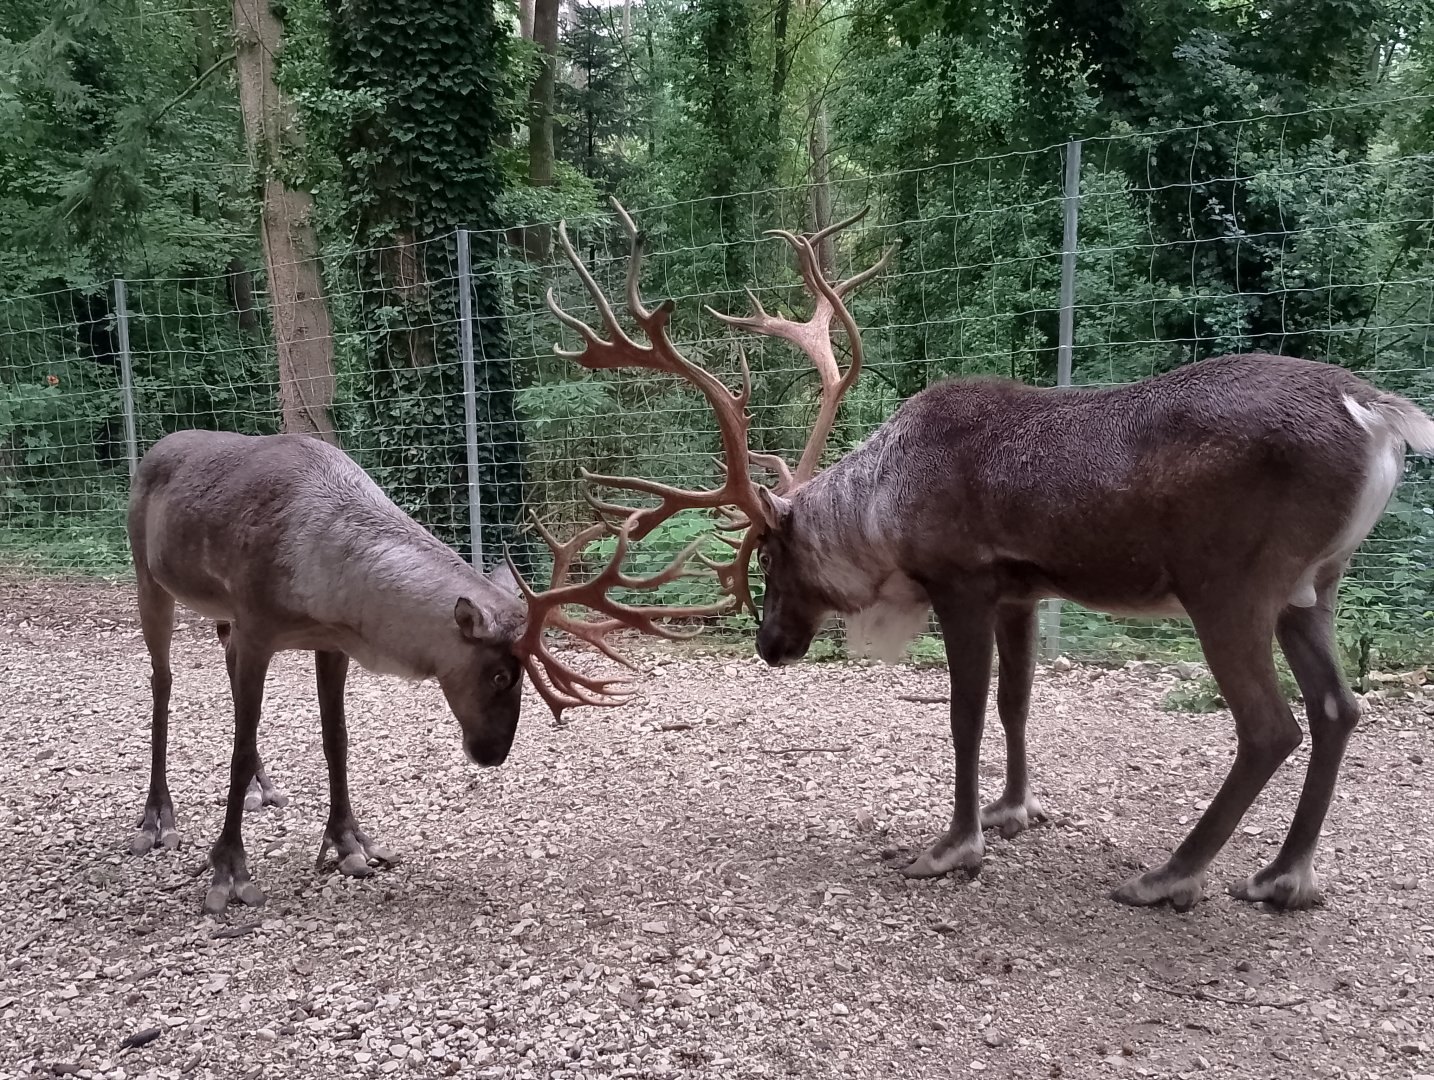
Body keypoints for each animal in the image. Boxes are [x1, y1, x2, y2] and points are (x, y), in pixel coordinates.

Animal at [127, 428, 724, 915]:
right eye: (500, 675)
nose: (492, 754)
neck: (320, 575)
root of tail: (152, 450)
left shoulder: (330, 642)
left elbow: (336, 739)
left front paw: (351, 844)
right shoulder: (258, 627)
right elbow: (238, 748)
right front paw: (228, 871)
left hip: (222, 617)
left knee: (224, 669)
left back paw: (264, 787)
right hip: (150, 575)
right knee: (163, 681)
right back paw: (158, 818)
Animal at [547, 197, 1434, 913]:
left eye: (769, 559)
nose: (769, 646)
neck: (883, 508)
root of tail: (1380, 413)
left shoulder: (962, 581)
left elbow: (964, 715)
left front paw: (951, 846)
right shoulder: (1023, 591)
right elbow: (1017, 702)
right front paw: (1015, 810)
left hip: (1229, 587)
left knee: (1270, 725)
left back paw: (1169, 875)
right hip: (1314, 587)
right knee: (1339, 707)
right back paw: (1284, 876)